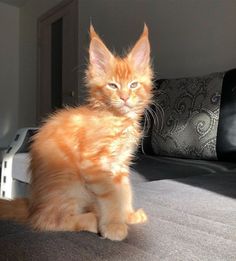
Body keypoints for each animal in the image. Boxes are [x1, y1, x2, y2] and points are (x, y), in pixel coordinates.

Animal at [0, 24, 153, 240]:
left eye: (134, 85)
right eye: (112, 86)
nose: (124, 97)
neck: (117, 119)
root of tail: (32, 206)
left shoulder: (120, 165)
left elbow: (124, 191)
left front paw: (127, 216)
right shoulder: (94, 164)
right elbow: (112, 195)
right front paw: (114, 226)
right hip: (72, 184)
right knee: (46, 220)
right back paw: (91, 219)